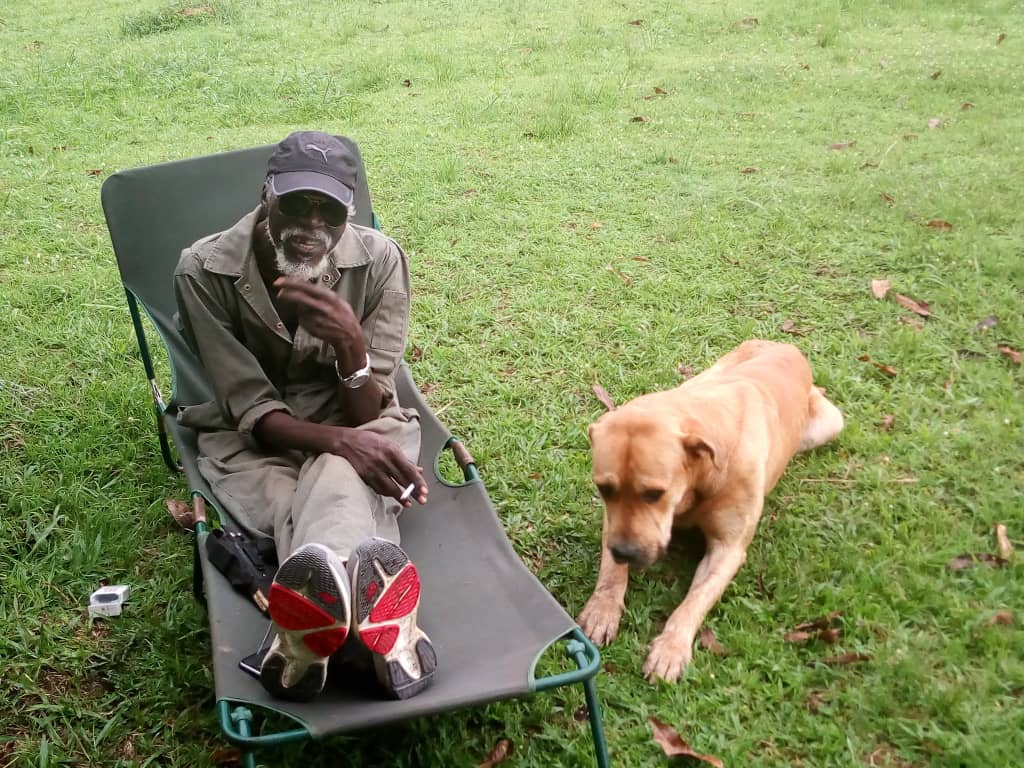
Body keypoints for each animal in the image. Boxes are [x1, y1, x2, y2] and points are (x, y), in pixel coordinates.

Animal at [581, 339, 843, 684]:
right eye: (604, 489)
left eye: (654, 494)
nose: (625, 552)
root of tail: (785, 345)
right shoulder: (613, 523)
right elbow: (611, 572)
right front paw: (603, 608)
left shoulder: (727, 550)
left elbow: (694, 602)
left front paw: (671, 647)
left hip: (830, 423)